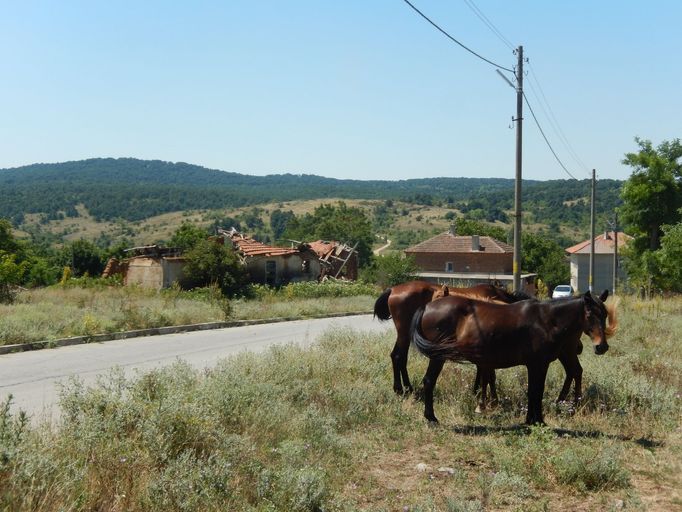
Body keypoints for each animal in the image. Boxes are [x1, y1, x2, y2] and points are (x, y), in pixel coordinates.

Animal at [372, 280, 524, 396]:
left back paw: (406, 388)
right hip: (405, 334)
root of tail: (392, 289)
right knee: (399, 356)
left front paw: (477, 391)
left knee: (398, 356)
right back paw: (403, 388)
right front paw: (478, 392)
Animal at [410, 290, 616, 426]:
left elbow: (534, 391)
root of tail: (427, 306)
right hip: (438, 357)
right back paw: (431, 417)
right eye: (589, 314)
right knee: (429, 381)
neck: (546, 320)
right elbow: (535, 391)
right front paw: (537, 421)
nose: (602, 346)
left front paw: (532, 420)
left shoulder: (536, 365)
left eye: (605, 314)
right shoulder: (537, 365)